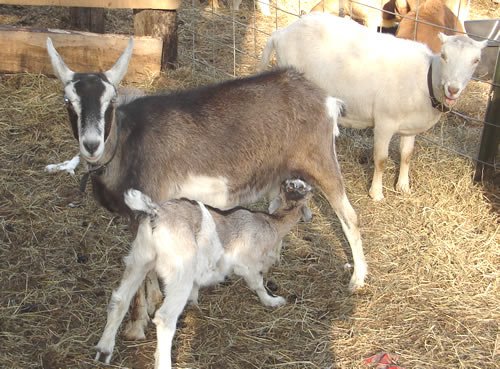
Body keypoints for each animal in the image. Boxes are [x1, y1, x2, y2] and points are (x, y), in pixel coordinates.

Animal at [94, 178, 312, 366]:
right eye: (300, 187)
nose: (287, 183)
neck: (270, 223)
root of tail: (155, 213)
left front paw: (194, 304)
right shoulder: (248, 263)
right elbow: (258, 284)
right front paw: (272, 301)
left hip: (140, 258)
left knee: (120, 299)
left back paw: (104, 350)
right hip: (180, 270)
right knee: (165, 318)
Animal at [260, 12, 486, 200]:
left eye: (476, 60)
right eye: (444, 55)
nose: (453, 89)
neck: (425, 78)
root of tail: (281, 33)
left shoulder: (410, 126)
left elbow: (406, 155)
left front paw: (403, 186)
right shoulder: (385, 121)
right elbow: (381, 159)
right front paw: (376, 193)